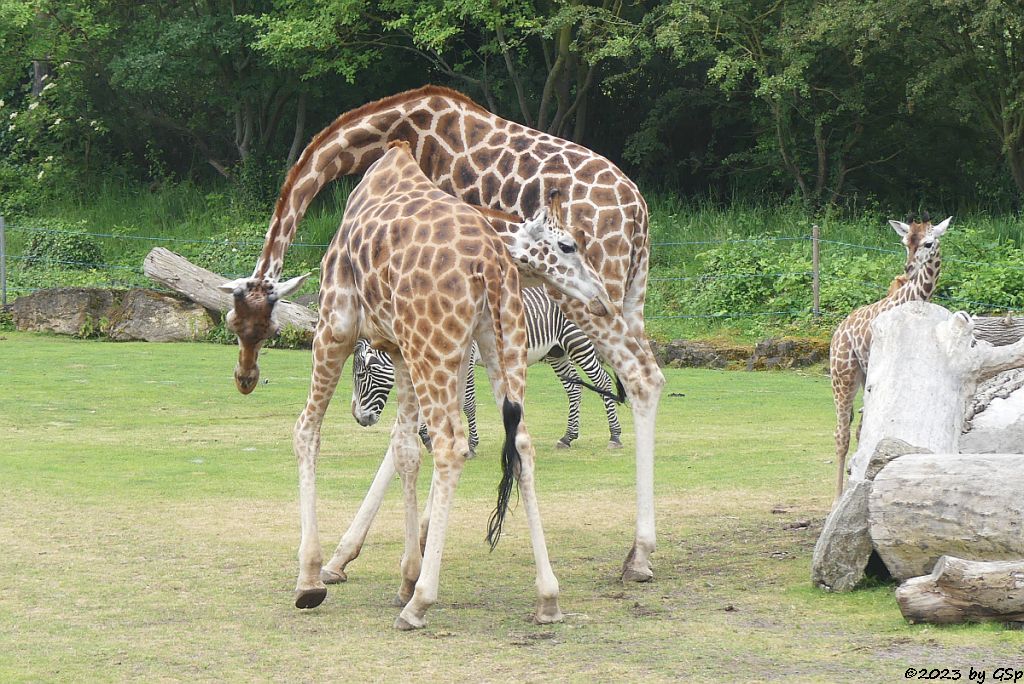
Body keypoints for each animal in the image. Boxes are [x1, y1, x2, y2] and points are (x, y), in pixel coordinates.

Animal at [352, 286, 622, 450]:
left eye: (363, 373)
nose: (358, 419)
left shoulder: (467, 358)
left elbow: (468, 402)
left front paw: (471, 443)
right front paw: (428, 437)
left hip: (578, 341)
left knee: (603, 382)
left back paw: (615, 435)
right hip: (556, 351)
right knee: (574, 389)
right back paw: (568, 437)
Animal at [823, 210, 950, 499]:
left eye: (928, 243)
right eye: (904, 243)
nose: (909, 268)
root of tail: (838, 331)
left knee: (858, 430)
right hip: (843, 375)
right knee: (841, 433)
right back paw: (837, 498)